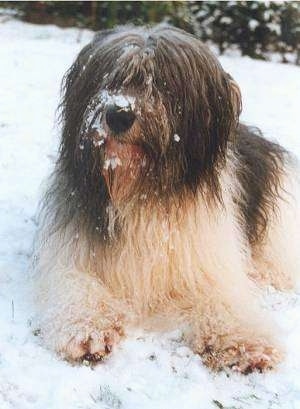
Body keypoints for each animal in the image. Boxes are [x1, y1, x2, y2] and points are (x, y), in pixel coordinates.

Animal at [32, 23, 300, 372]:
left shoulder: (205, 261)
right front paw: (88, 327)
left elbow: (222, 298)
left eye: (161, 82)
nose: (119, 114)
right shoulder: (71, 254)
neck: (141, 190)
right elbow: (75, 283)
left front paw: (244, 342)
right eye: (110, 78)